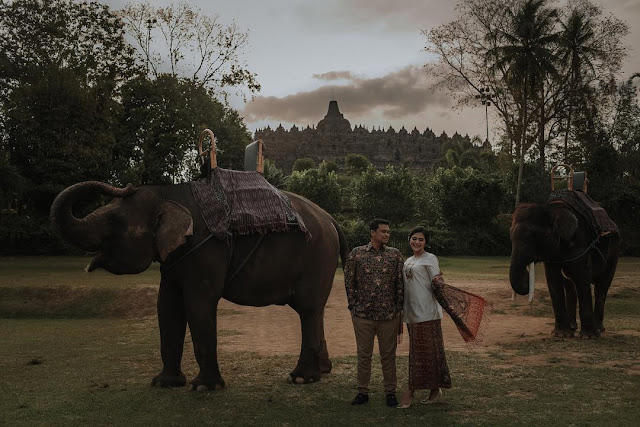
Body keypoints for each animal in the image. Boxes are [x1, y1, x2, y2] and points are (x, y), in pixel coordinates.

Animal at [50, 181, 348, 392]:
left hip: (317, 256)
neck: (168, 193)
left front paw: (204, 387)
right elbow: (166, 306)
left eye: (114, 222)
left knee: (308, 309)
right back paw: (322, 371)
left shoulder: (206, 249)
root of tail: (332, 220)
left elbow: (198, 303)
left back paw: (301, 379)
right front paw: (164, 383)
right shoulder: (173, 259)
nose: (127, 185)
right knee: (315, 310)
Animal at [508, 197, 616, 342]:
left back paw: (599, 329)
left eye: (534, 237)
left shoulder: (581, 242)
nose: (526, 275)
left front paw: (588, 337)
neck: (551, 208)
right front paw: (561, 334)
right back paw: (572, 327)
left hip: (614, 251)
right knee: (570, 287)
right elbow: (553, 280)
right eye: (511, 237)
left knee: (603, 286)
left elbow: (582, 278)